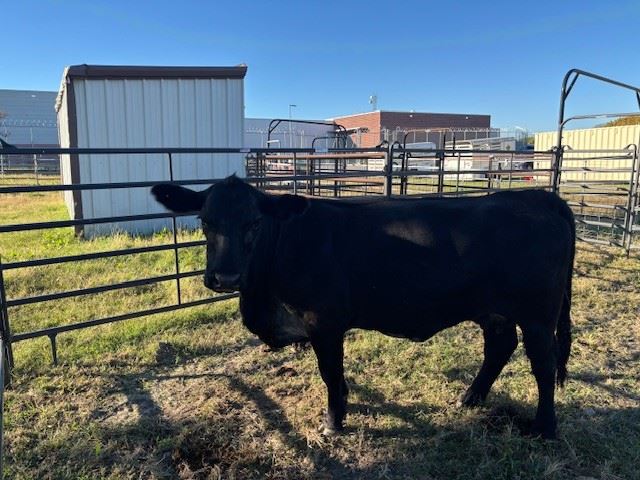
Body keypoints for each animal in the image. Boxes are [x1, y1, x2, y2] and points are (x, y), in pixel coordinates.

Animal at [151, 176, 575, 439]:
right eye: (205, 220)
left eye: (254, 222)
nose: (224, 277)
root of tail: (537, 197)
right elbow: (337, 377)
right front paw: (343, 408)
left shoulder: (324, 323)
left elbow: (330, 374)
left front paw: (333, 423)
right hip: (494, 311)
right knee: (499, 348)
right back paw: (470, 398)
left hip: (538, 316)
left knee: (544, 364)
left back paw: (544, 428)